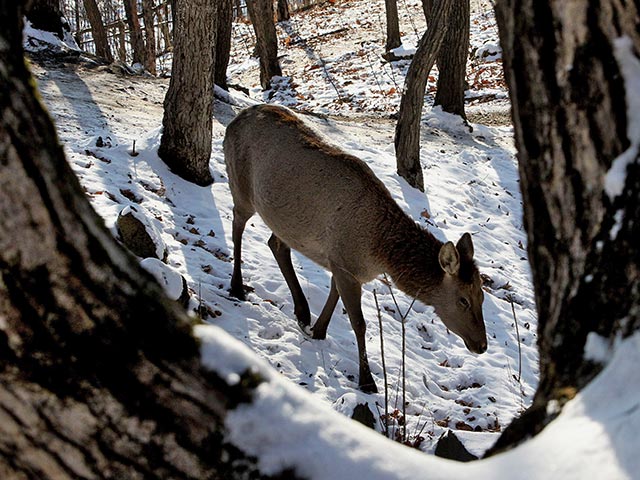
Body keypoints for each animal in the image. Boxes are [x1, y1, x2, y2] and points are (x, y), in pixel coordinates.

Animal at [222, 103, 488, 392]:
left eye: (482, 296)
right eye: (463, 300)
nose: (482, 345)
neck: (378, 250)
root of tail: (235, 120)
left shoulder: (339, 263)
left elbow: (333, 295)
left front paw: (317, 330)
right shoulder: (346, 266)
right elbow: (359, 323)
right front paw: (367, 381)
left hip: (283, 219)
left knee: (276, 243)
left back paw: (302, 311)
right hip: (241, 187)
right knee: (236, 225)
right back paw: (237, 286)